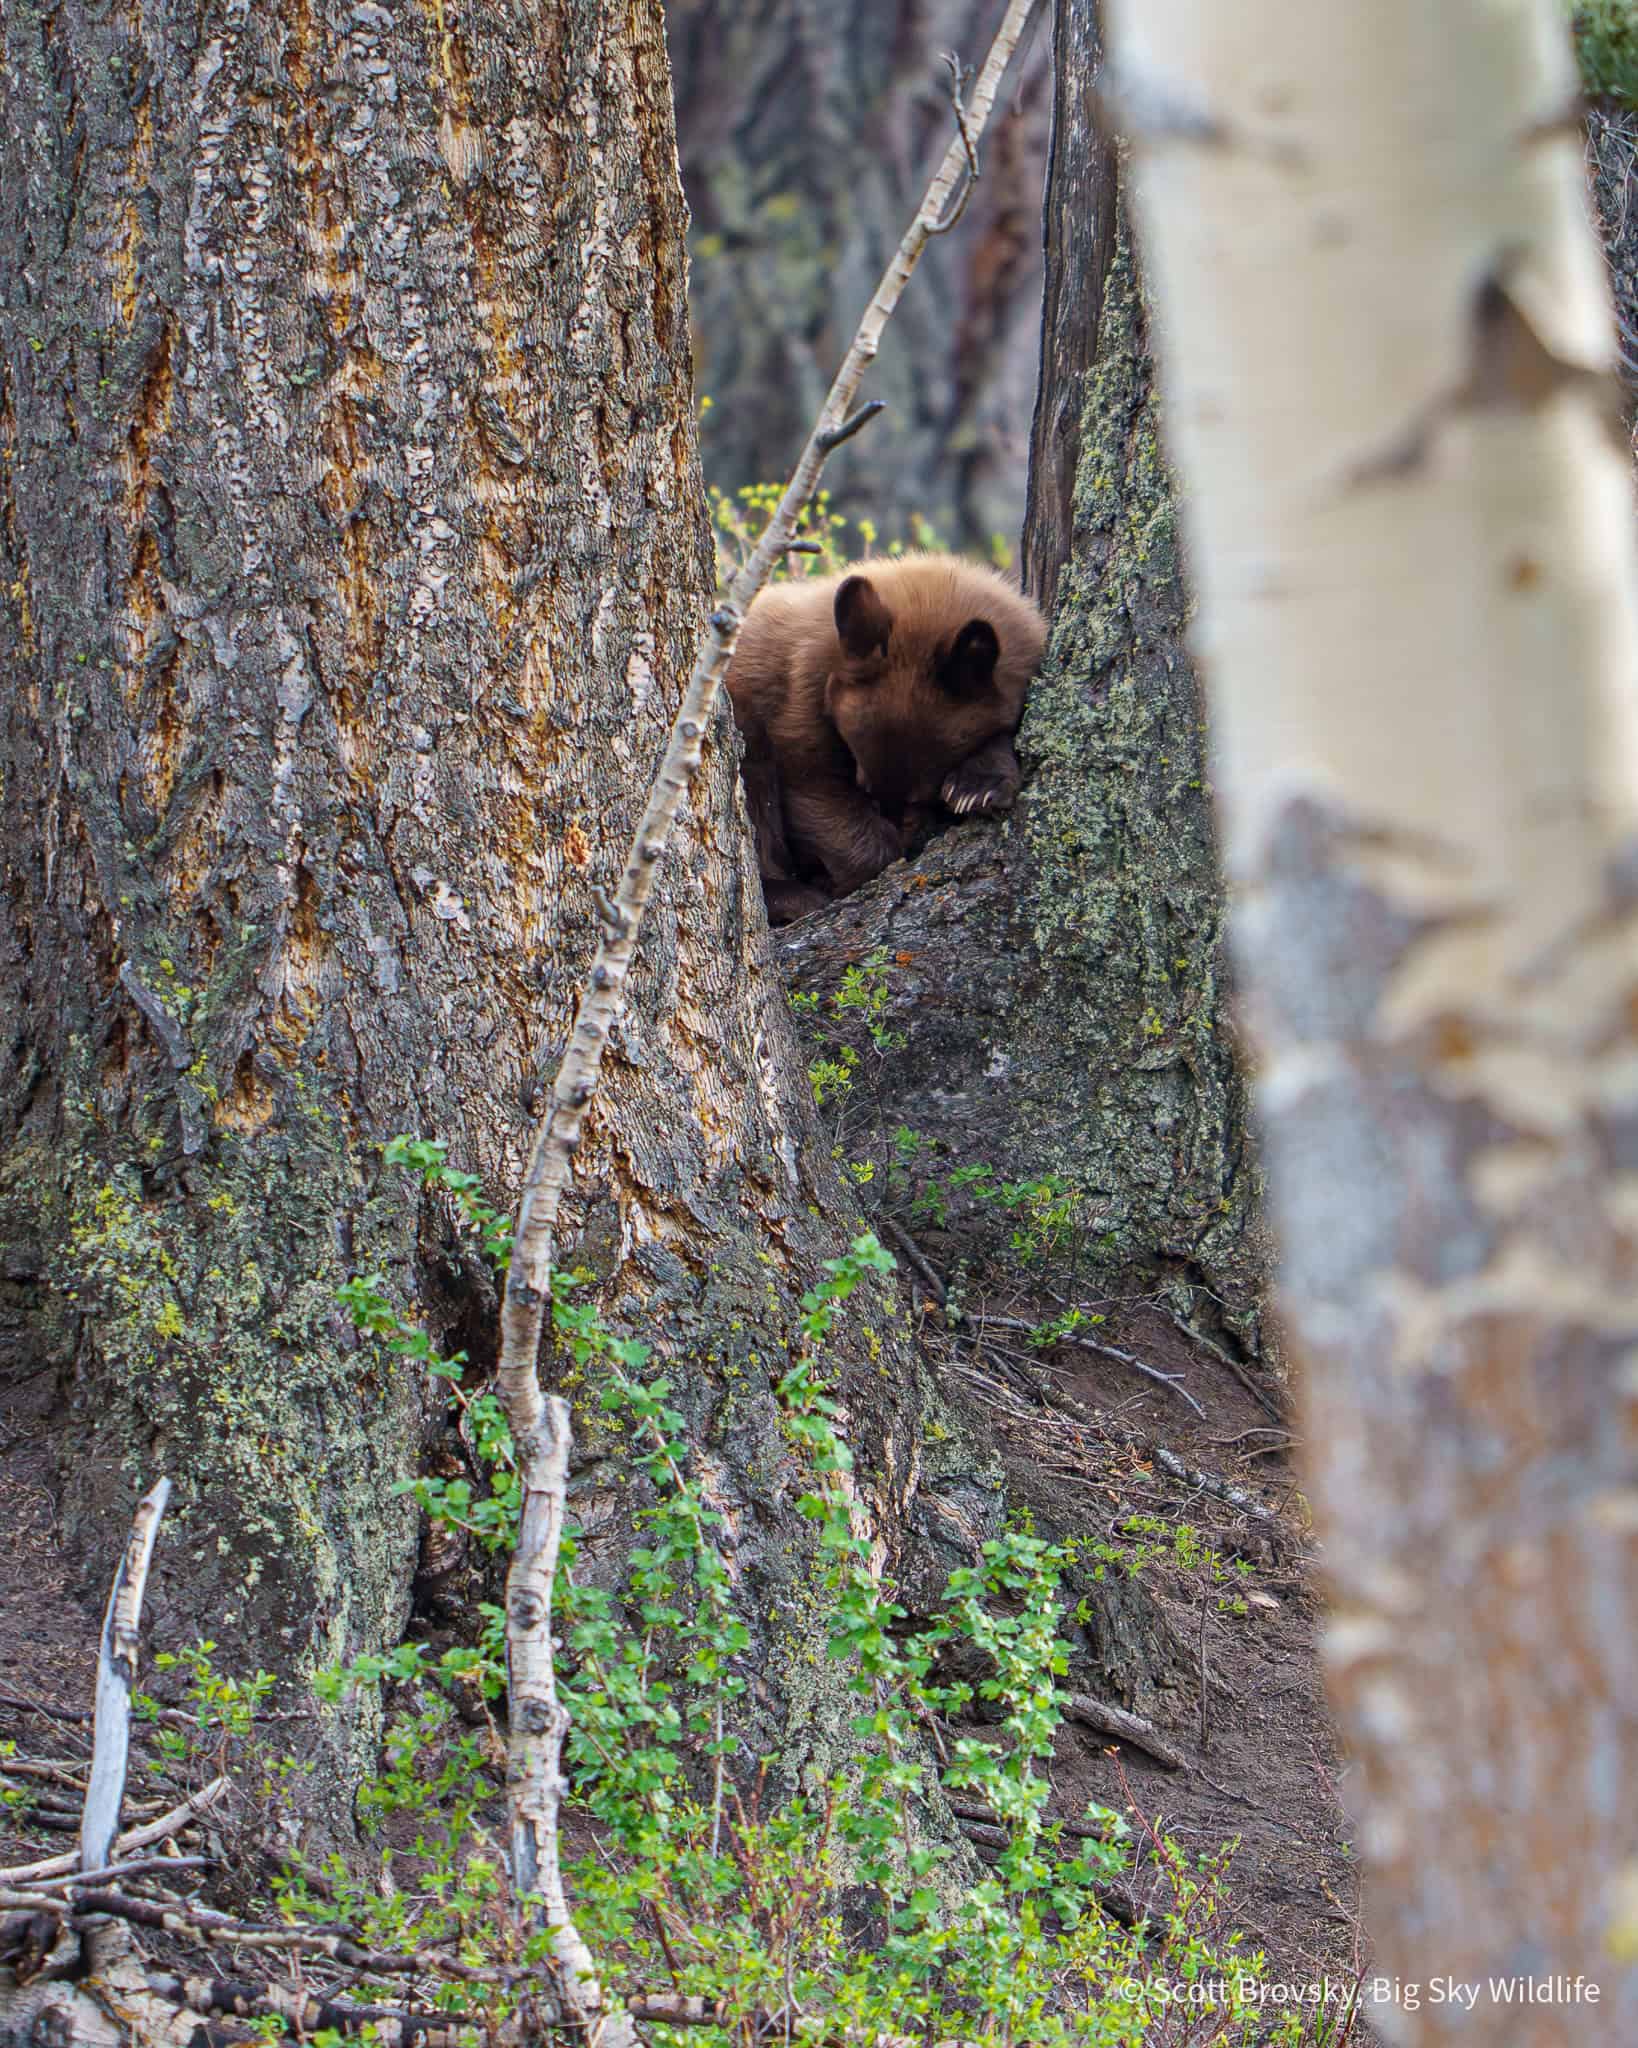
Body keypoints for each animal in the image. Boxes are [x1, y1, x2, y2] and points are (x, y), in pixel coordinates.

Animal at [725, 552, 1047, 925]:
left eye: (918, 798)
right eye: (866, 787)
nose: (898, 821)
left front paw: (977, 787)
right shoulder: (800, 693)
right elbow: (815, 785)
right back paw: (792, 896)